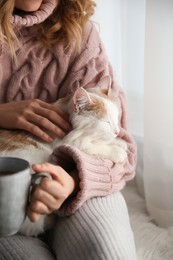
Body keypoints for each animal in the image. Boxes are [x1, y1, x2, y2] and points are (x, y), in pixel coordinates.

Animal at [0, 74, 127, 236]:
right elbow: (93, 146)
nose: (117, 131)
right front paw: (117, 151)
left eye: (117, 117)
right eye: (106, 122)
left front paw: (119, 143)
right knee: (32, 228)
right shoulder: (69, 142)